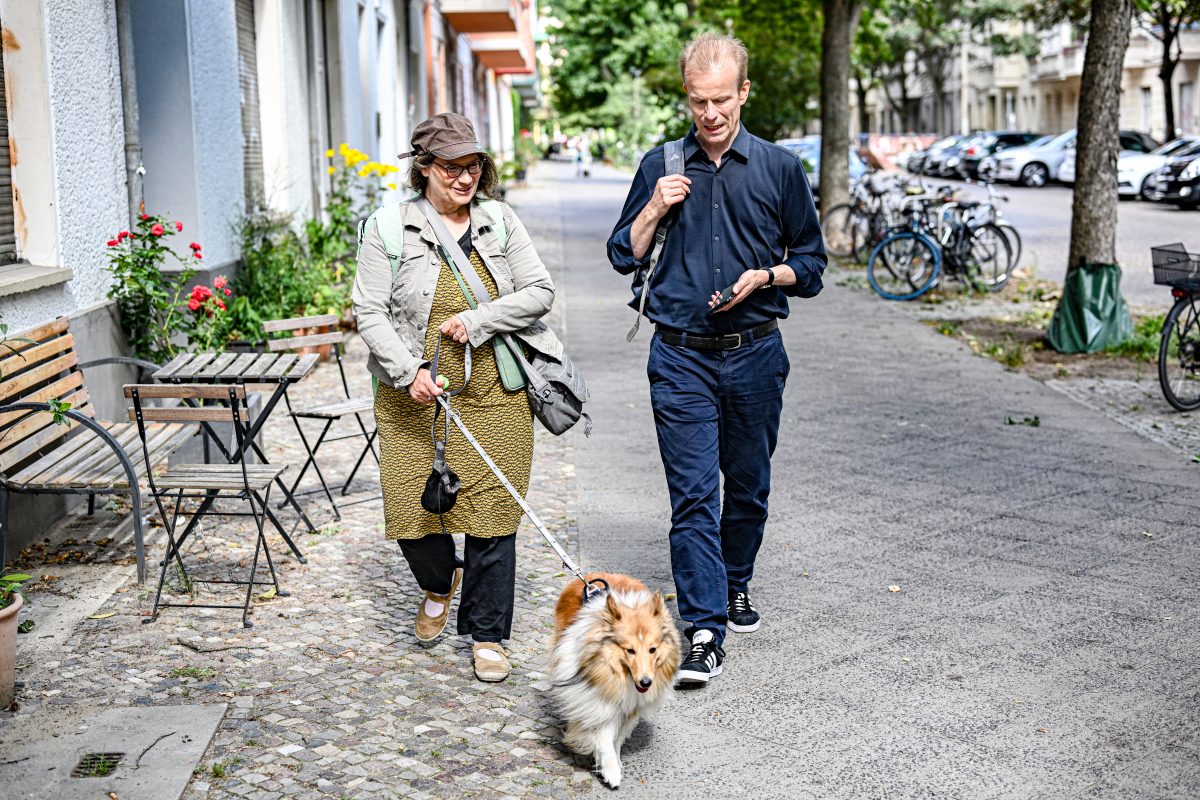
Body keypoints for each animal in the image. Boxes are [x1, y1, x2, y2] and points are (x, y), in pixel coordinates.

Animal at [549, 573, 681, 791]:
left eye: (653, 649)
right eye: (630, 650)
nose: (646, 683)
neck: (621, 678)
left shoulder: (631, 707)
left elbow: (618, 737)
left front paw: (615, 762)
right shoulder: (597, 701)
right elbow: (603, 736)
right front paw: (610, 770)